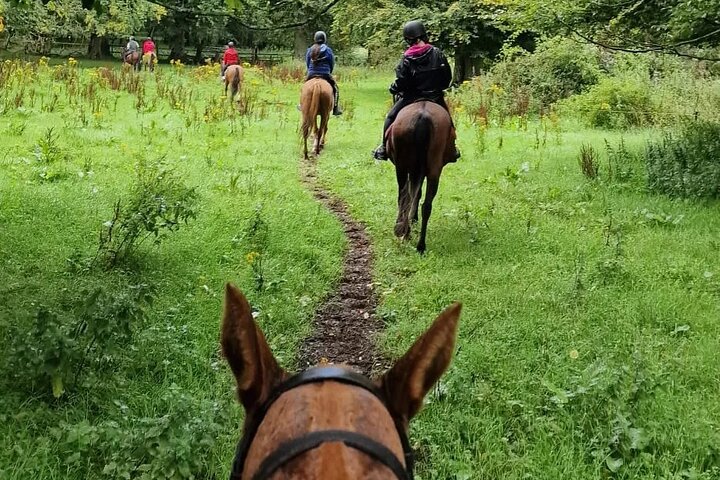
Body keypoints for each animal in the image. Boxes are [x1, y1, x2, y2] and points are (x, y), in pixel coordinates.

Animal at [387, 101, 455, 254]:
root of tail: (423, 117)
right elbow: (416, 194)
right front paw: (412, 221)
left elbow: (410, 195)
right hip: (433, 170)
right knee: (426, 205)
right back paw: (420, 245)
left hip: (402, 167)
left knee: (404, 197)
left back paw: (410, 236)